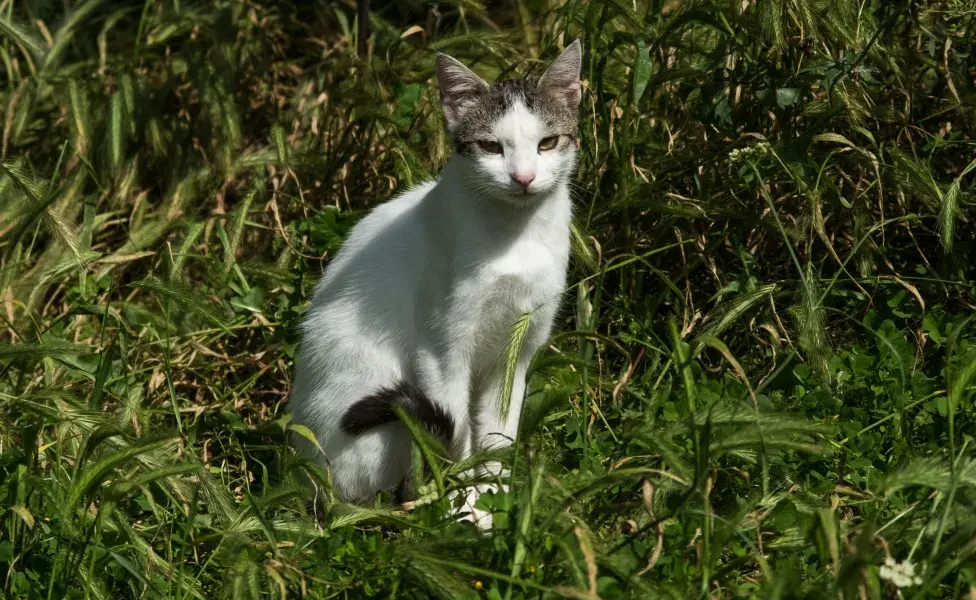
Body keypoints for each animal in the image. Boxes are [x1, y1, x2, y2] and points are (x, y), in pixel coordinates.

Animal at [288, 41, 580, 528]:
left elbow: (498, 435)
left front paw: (494, 497)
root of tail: (309, 481)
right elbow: (456, 433)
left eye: (548, 142)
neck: (514, 235)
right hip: (376, 422)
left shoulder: (516, 350)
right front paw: (461, 503)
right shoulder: (442, 351)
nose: (522, 178)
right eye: (490, 146)